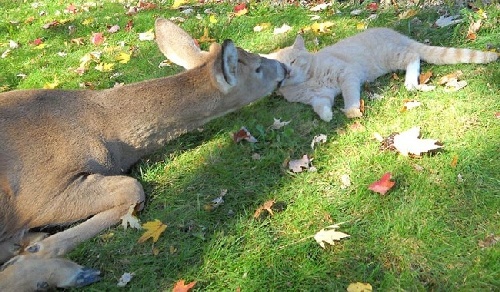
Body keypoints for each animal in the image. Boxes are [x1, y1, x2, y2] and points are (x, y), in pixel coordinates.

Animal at [0, 19, 290, 290]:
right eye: (257, 68)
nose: (284, 68)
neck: (108, 134)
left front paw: (33, 246)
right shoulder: (38, 196)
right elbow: (133, 188)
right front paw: (41, 249)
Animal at [264, 28, 498, 121]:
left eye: (293, 61)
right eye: (281, 66)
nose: (288, 71)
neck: (308, 81)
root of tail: (395, 33)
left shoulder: (347, 74)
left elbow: (350, 95)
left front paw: (351, 110)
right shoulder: (319, 97)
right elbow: (320, 107)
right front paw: (327, 115)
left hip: (391, 56)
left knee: (413, 56)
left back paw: (410, 82)